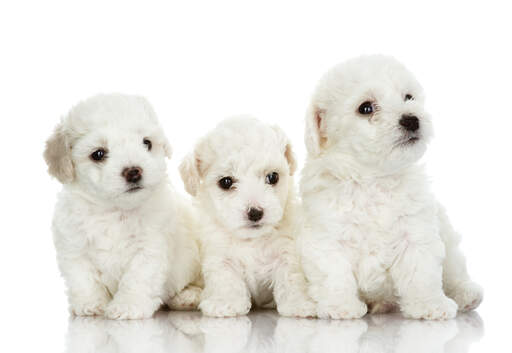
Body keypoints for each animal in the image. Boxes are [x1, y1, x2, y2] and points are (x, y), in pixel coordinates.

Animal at [44, 93, 201, 320]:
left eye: (147, 143)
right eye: (98, 154)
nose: (134, 172)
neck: (114, 211)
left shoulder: (149, 247)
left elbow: (137, 278)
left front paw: (128, 306)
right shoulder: (74, 248)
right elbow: (83, 279)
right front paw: (90, 304)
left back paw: (188, 296)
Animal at [180, 115, 316, 316]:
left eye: (272, 177)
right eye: (226, 182)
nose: (255, 212)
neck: (252, 240)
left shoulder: (286, 249)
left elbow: (291, 275)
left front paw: (298, 303)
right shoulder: (219, 255)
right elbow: (225, 278)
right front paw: (226, 303)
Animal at [298, 55, 482, 320]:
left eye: (408, 97)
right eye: (366, 108)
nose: (412, 119)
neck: (373, 178)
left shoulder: (416, 232)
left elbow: (422, 273)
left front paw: (430, 304)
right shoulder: (326, 236)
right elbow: (334, 274)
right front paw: (340, 306)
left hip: (447, 234)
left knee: (454, 270)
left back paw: (466, 294)